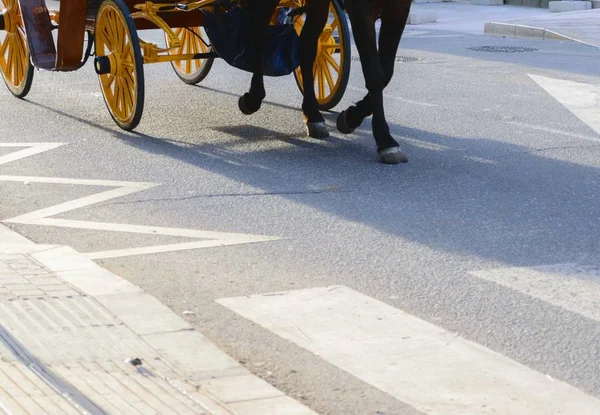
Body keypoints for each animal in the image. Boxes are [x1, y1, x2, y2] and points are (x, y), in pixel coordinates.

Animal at [239, 0, 412, 166]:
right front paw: (385, 140)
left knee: (306, 47)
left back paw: (312, 114)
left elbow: (387, 72)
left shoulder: (399, 8)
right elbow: (374, 74)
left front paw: (351, 116)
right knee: (260, 35)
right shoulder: (361, 10)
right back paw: (253, 98)